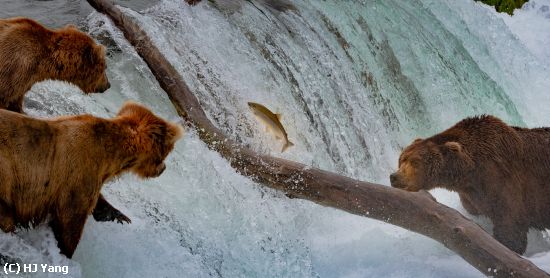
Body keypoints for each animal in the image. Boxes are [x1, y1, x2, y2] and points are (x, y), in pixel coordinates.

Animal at [0, 101, 183, 258]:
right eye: (169, 150)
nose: (163, 169)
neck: (111, 157)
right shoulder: (77, 175)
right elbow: (70, 224)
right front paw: (66, 252)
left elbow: (98, 202)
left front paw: (120, 216)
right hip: (6, 175)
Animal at [390, 115, 550, 254]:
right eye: (401, 159)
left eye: (415, 162)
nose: (394, 177)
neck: (470, 173)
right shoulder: (471, 195)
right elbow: (474, 211)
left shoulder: (504, 182)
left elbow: (510, 224)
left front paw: (508, 247)